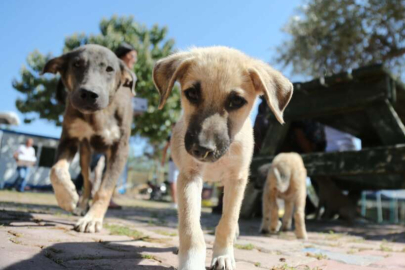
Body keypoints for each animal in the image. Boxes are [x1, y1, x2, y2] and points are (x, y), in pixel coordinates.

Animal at [41, 44, 136, 232]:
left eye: (109, 69)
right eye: (77, 64)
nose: (90, 94)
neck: (98, 115)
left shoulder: (120, 148)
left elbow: (105, 189)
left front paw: (92, 218)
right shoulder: (69, 138)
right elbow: (56, 169)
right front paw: (67, 198)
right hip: (85, 154)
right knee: (88, 181)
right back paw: (81, 206)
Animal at [153, 47, 292, 270]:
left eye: (237, 101)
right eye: (191, 93)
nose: (202, 149)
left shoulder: (237, 179)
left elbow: (228, 220)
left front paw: (223, 255)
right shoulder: (189, 176)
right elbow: (190, 225)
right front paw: (191, 260)